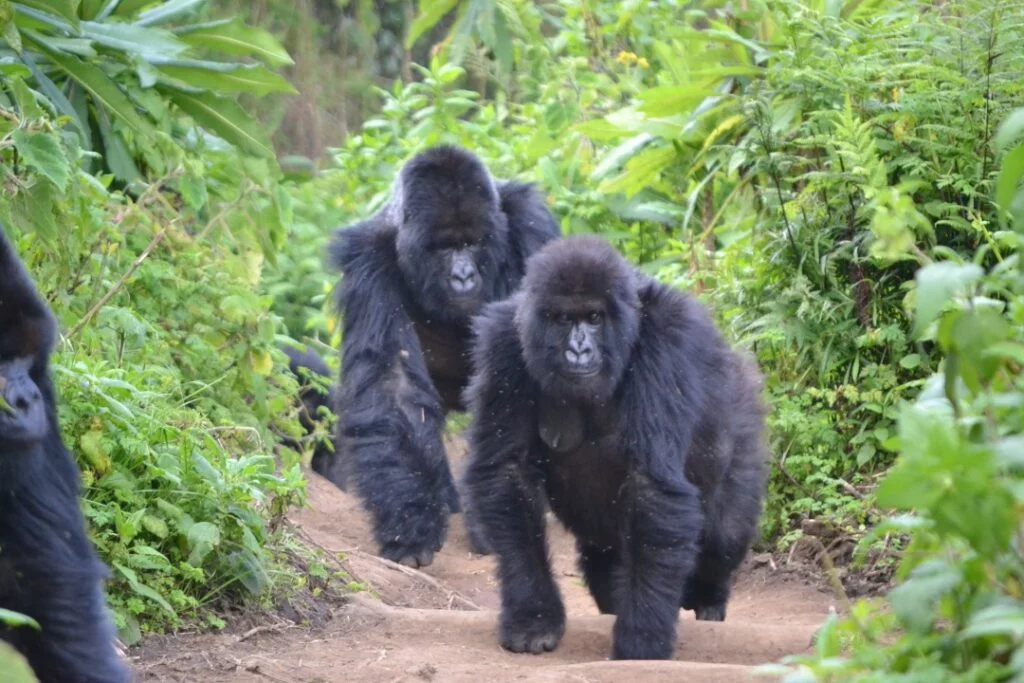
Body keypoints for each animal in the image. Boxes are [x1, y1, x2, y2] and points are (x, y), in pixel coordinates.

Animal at [323, 147, 561, 569]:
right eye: (444, 247)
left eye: (473, 243)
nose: (463, 277)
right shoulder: (368, 259)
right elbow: (393, 386)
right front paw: (412, 524)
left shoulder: (531, 224)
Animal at [464, 235, 770, 663]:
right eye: (563, 319)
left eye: (594, 318)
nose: (578, 350)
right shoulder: (503, 345)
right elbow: (509, 474)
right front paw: (532, 616)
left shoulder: (668, 339)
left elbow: (651, 485)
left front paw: (643, 636)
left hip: (742, 414)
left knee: (725, 532)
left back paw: (709, 596)